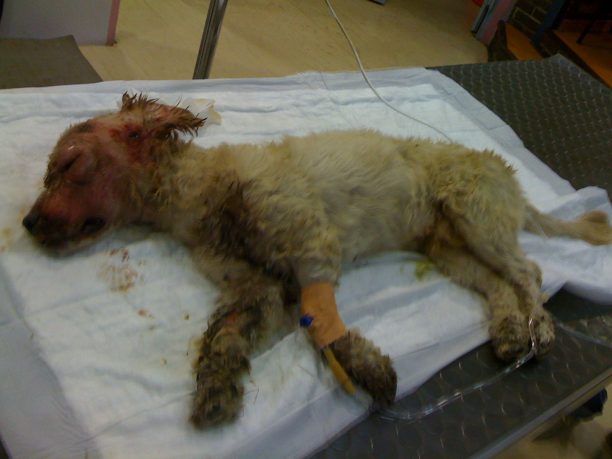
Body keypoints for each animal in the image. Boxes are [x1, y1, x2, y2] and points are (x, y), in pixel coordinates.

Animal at [22, 94, 612, 427]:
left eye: (68, 164)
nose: (26, 223)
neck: (208, 191)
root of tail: (509, 176)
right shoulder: (256, 289)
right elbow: (229, 336)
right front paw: (217, 389)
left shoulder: (312, 247)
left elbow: (323, 323)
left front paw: (369, 371)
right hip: (451, 249)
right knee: (498, 285)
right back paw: (512, 331)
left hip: (477, 216)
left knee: (530, 273)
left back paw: (541, 329)